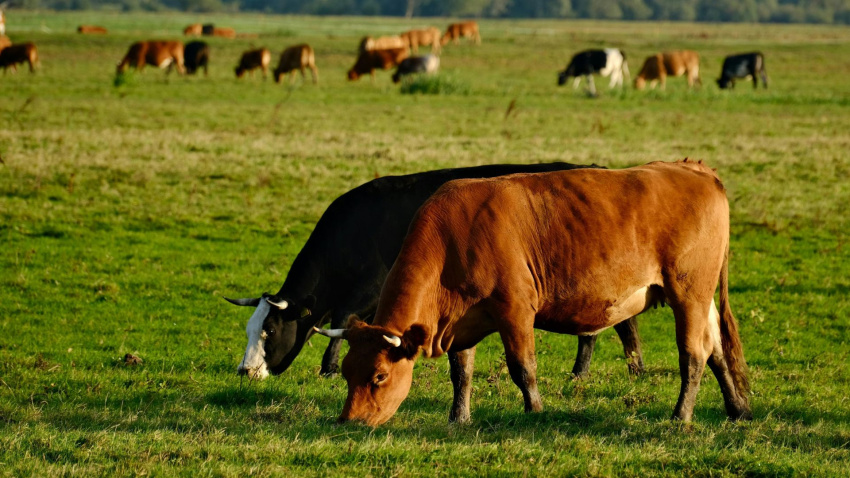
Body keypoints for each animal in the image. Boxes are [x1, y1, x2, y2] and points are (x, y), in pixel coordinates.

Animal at [225, 162, 646, 423]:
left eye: (270, 331)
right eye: (249, 329)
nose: (245, 371)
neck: (353, 229)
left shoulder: (367, 291)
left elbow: (341, 323)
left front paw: (327, 368)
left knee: (619, 325)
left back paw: (618, 370)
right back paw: (597, 371)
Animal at [315, 159, 752, 428]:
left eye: (379, 376)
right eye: (347, 372)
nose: (349, 421)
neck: (454, 237)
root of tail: (693, 169)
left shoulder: (516, 310)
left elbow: (522, 367)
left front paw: (536, 410)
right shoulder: (459, 323)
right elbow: (462, 373)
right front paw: (459, 417)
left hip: (688, 293)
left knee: (693, 355)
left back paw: (681, 415)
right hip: (702, 298)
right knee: (716, 350)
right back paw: (737, 408)